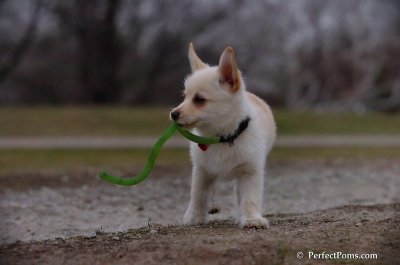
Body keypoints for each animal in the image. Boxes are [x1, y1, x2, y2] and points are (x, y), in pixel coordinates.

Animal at [169, 42, 276, 227]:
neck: (222, 138)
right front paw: (195, 216)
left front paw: (251, 218)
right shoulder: (201, 170)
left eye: (199, 99)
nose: (173, 114)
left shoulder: (250, 170)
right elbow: (199, 194)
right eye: (184, 97)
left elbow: (249, 196)